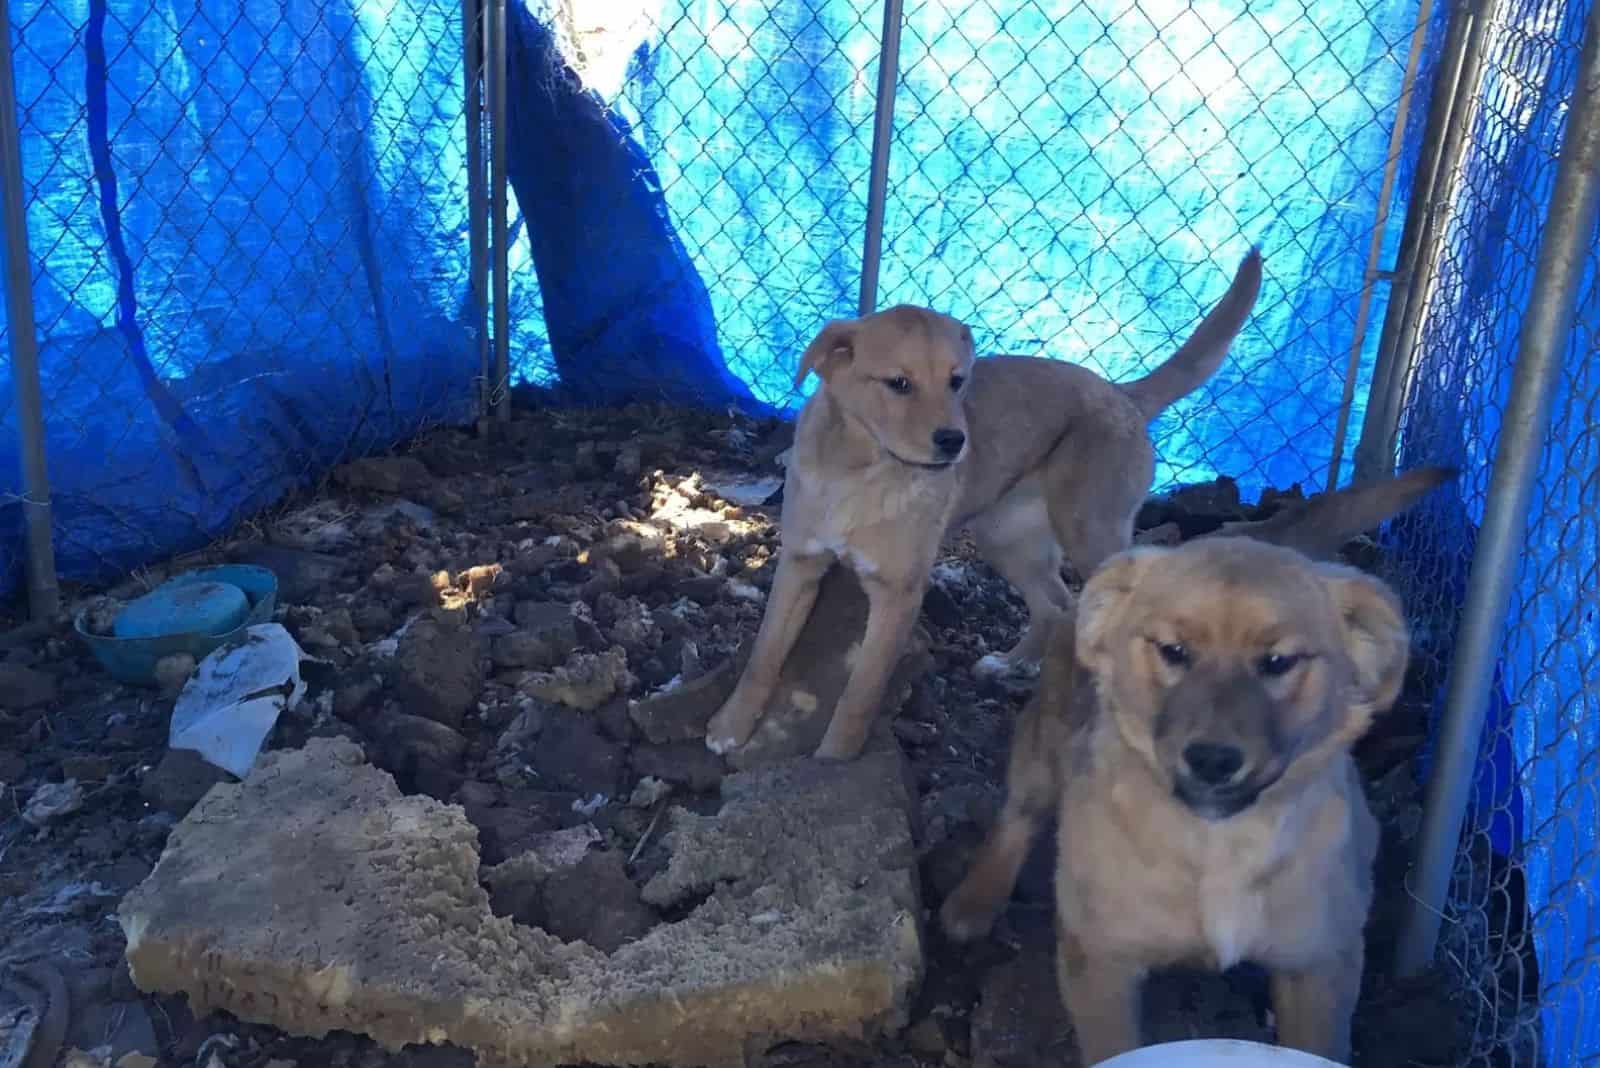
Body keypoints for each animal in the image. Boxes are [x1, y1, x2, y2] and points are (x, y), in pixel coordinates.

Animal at [710, 251, 1260, 757]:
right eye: (898, 383)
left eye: (957, 381)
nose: (956, 441)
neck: (860, 473)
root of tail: (1122, 394)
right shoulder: (799, 565)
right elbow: (764, 656)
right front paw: (731, 725)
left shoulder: (897, 595)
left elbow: (859, 693)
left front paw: (833, 762)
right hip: (1005, 539)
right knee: (1056, 605)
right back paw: (1012, 663)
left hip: (1090, 531)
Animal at [934, 543, 1414, 1068]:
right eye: (1173, 652)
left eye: (1278, 661)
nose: (1212, 760)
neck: (1218, 844)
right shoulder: (1101, 962)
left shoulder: (1322, 967)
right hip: (1042, 749)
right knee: (1017, 819)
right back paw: (974, 901)